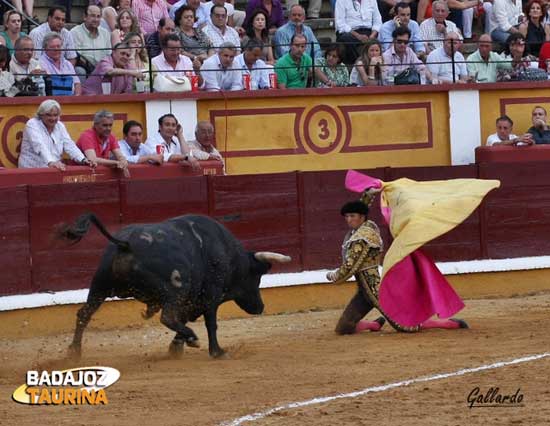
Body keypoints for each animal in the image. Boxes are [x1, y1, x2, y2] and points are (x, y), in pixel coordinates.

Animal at [58, 213, 294, 356]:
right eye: (257, 277)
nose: (260, 307)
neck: (229, 255)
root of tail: (126, 244)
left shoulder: (194, 299)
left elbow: (185, 318)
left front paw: (177, 346)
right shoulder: (210, 294)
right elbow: (210, 323)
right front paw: (216, 351)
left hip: (99, 285)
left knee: (84, 314)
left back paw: (74, 352)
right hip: (175, 289)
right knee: (168, 317)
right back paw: (193, 336)